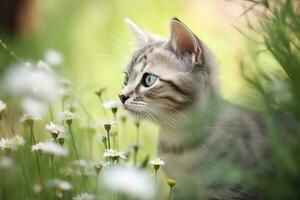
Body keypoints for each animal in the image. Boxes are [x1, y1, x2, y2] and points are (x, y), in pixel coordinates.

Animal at [118, 18, 266, 199]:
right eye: (126, 79)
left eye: (149, 80)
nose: (121, 96)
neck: (180, 143)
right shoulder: (179, 189)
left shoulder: (234, 189)